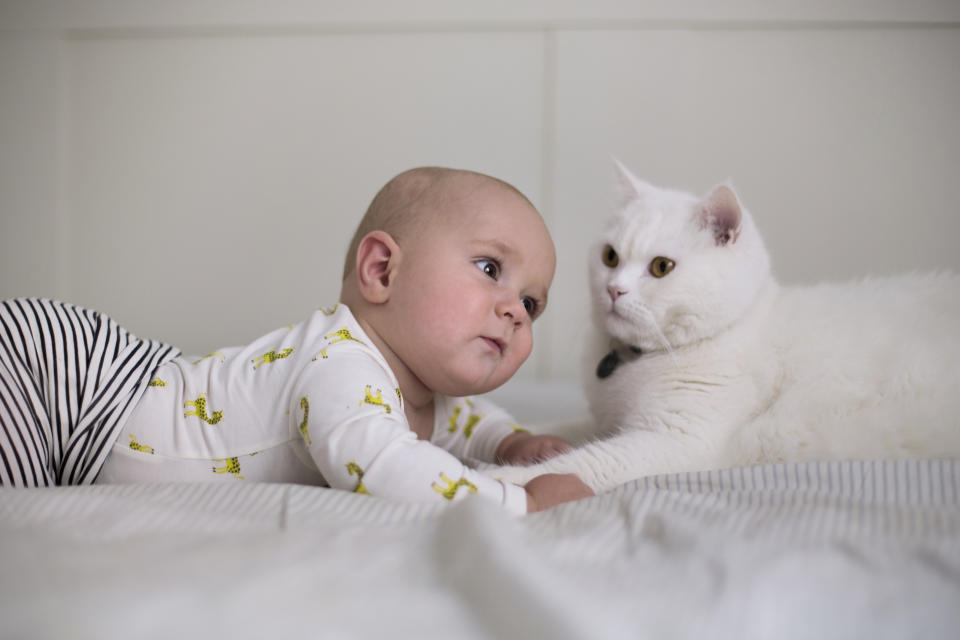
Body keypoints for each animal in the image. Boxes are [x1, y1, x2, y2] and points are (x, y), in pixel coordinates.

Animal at [488, 162, 960, 492]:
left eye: (661, 267)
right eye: (609, 256)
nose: (614, 289)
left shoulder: (677, 440)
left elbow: (583, 463)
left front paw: (503, 479)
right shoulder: (606, 421)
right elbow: (548, 428)